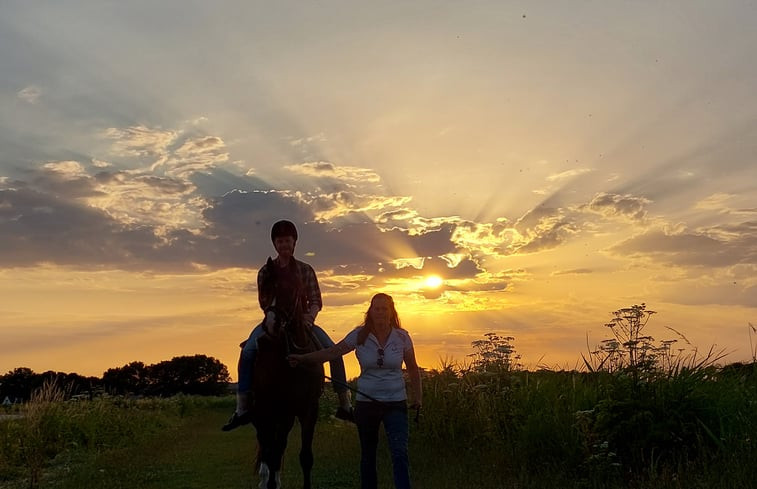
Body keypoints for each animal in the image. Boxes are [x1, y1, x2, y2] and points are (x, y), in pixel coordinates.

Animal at [252, 304, 324, 488]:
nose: (271, 326)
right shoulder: (273, 410)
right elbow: (271, 452)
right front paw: (269, 481)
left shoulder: (309, 410)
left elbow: (305, 457)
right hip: (264, 414)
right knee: (266, 446)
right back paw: (264, 480)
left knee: (277, 446)